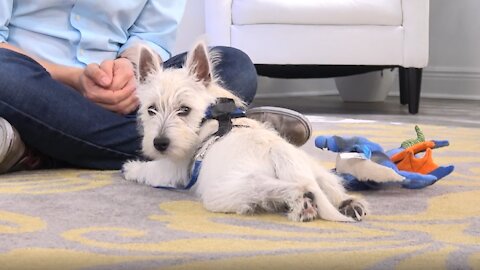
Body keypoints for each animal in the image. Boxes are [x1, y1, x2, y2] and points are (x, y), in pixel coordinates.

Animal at [123, 40, 368, 221]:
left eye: (184, 109)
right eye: (151, 109)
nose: (159, 143)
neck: (208, 115)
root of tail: (279, 152)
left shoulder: (173, 169)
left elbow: (149, 170)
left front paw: (131, 167)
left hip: (228, 190)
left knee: (292, 188)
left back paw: (302, 204)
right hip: (316, 169)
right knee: (329, 186)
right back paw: (348, 203)